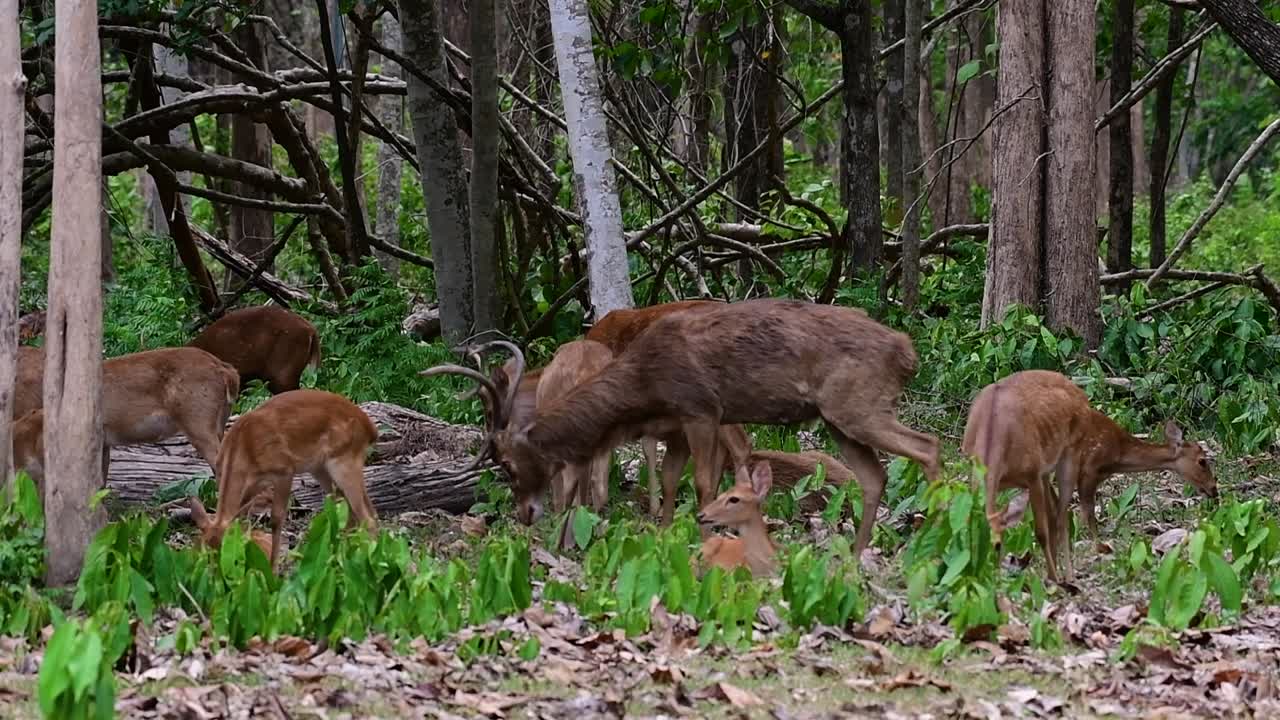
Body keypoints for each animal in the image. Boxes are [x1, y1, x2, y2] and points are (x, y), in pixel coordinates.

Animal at [188, 389, 379, 572]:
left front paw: (272, 570)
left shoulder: (284, 471)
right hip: (321, 468)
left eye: (225, 554)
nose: (217, 577)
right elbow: (242, 522)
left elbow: (276, 519)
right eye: (202, 553)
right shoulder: (251, 487)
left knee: (366, 516)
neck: (244, 448)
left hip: (344, 461)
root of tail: (370, 429)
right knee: (352, 510)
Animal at [430, 298, 941, 557]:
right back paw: (856, 553)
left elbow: (702, 483)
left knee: (928, 446)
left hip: (859, 404)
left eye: (508, 465)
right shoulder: (674, 426)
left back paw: (935, 534)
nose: (524, 514)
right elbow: (671, 480)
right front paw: (665, 533)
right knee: (874, 475)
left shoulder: (700, 409)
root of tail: (907, 352)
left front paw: (708, 536)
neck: (642, 388)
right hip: (838, 420)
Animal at [963, 369, 1216, 584]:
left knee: (1059, 514)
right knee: (1059, 513)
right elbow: (1087, 517)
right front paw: (1100, 550)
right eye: (1202, 461)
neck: (1118, 452)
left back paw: (1063, 576)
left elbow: (1064, 523)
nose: (1214, 489)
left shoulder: (1051, 474)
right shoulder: (1090, 469)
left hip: (1059, 462)